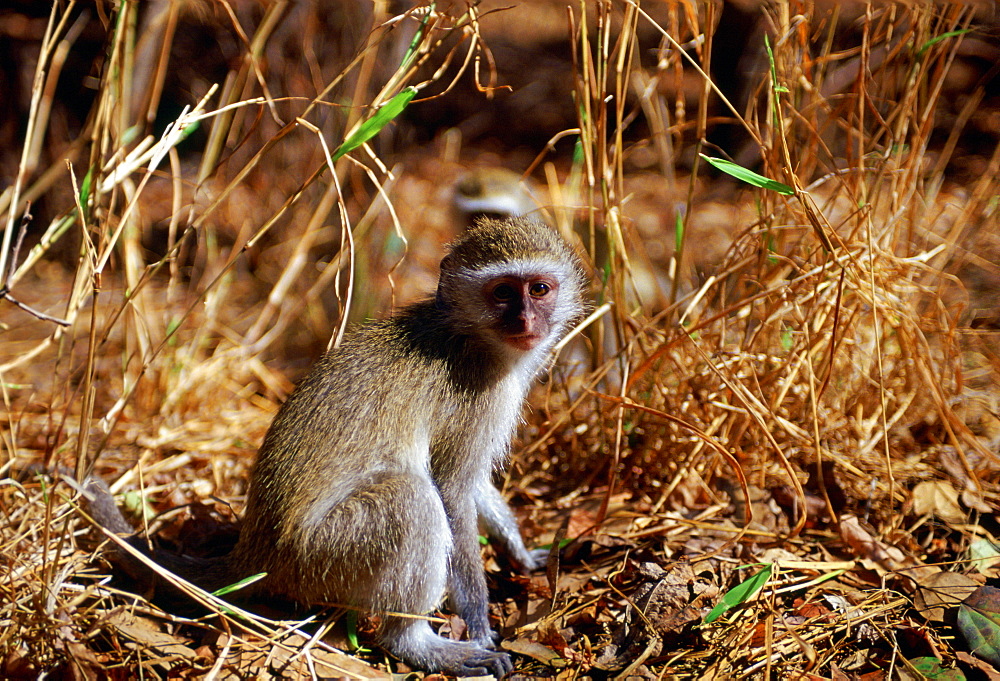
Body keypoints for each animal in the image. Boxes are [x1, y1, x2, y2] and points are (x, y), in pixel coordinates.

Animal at [86, 216, 588, 676]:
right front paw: (479, 625)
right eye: (503, 293)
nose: (525, 320)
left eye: (539, 289)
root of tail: (257, 555)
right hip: (322, 556)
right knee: (411, 500)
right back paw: (415, 644)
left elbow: (471, 484)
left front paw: (520, 553)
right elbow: (453, 490)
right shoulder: (479, 397)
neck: (470, 335)